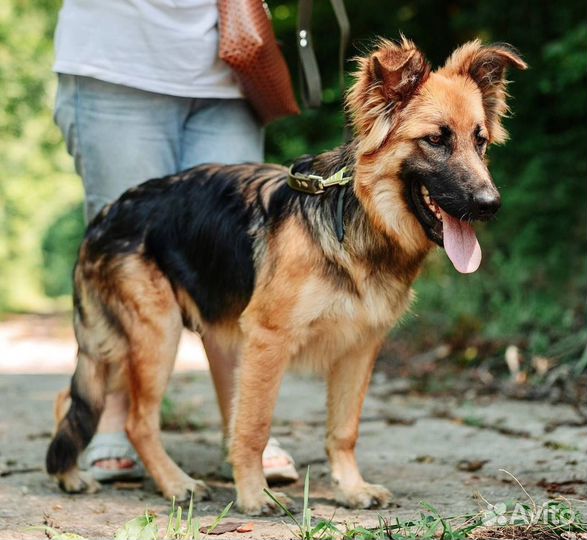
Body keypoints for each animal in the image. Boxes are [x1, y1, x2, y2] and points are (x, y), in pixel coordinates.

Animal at [44, 38, 524, 516]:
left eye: (480, 141)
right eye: (435, 140)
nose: (491, 204)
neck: (358, 215)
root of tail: (106, 216)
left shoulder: (360, 345)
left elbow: (343, 430)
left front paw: (351, 489)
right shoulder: (268, 339)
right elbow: (253, 425)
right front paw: (254, 494)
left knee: (70, 399)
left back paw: (70, 475)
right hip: (157, 335)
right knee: (136, 420)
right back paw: (175, 482)